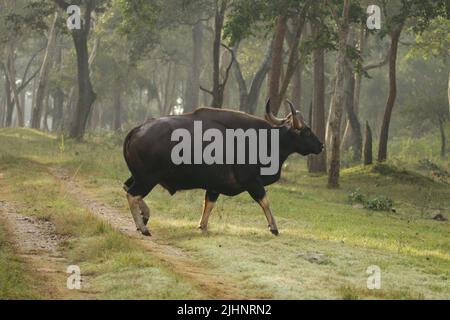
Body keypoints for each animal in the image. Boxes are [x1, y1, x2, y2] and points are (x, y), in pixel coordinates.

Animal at [121, 100, 322, 235]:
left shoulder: (214, 186)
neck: (263, 140)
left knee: (126, 187)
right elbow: (265, 201)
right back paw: (143, 227)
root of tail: (137, 129)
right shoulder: (252, 181)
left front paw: (202, 227)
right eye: (307, 131)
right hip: (148, 179)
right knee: (132, 194)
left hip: (139, 176)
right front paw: (273, 227)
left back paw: (145, 216)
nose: (321, 145)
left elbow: (208, 205)